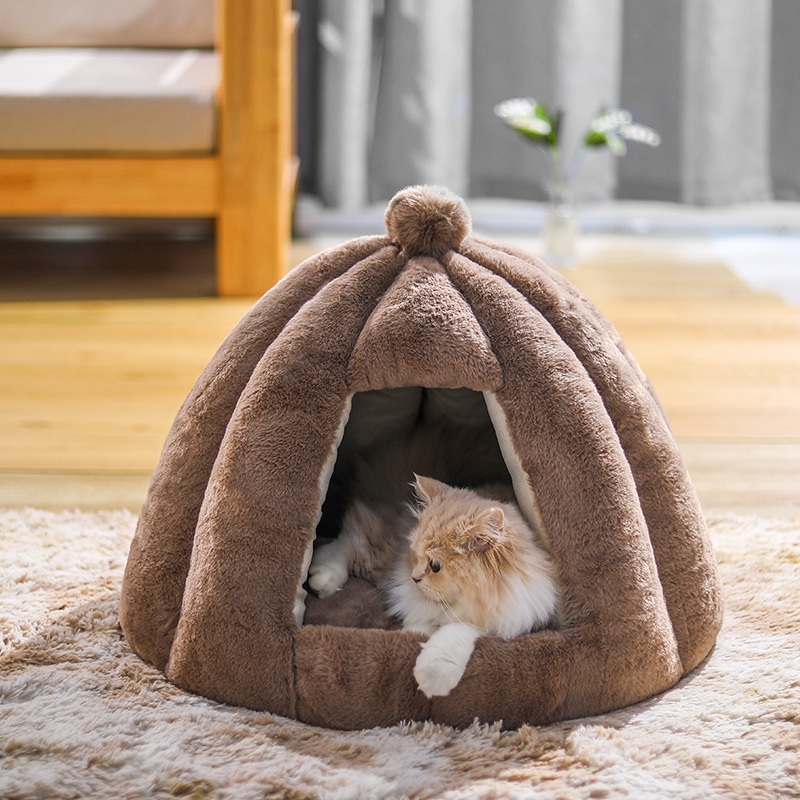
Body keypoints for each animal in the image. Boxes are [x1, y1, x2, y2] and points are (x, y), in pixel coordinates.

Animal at [308, 472, 559, 698]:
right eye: (416, 555)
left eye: (435, 565)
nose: (414, 577)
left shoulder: (506, 614)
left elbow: (453, 633)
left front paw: (431, 671)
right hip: (379, 560)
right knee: (349, 541)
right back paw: (322, 576)